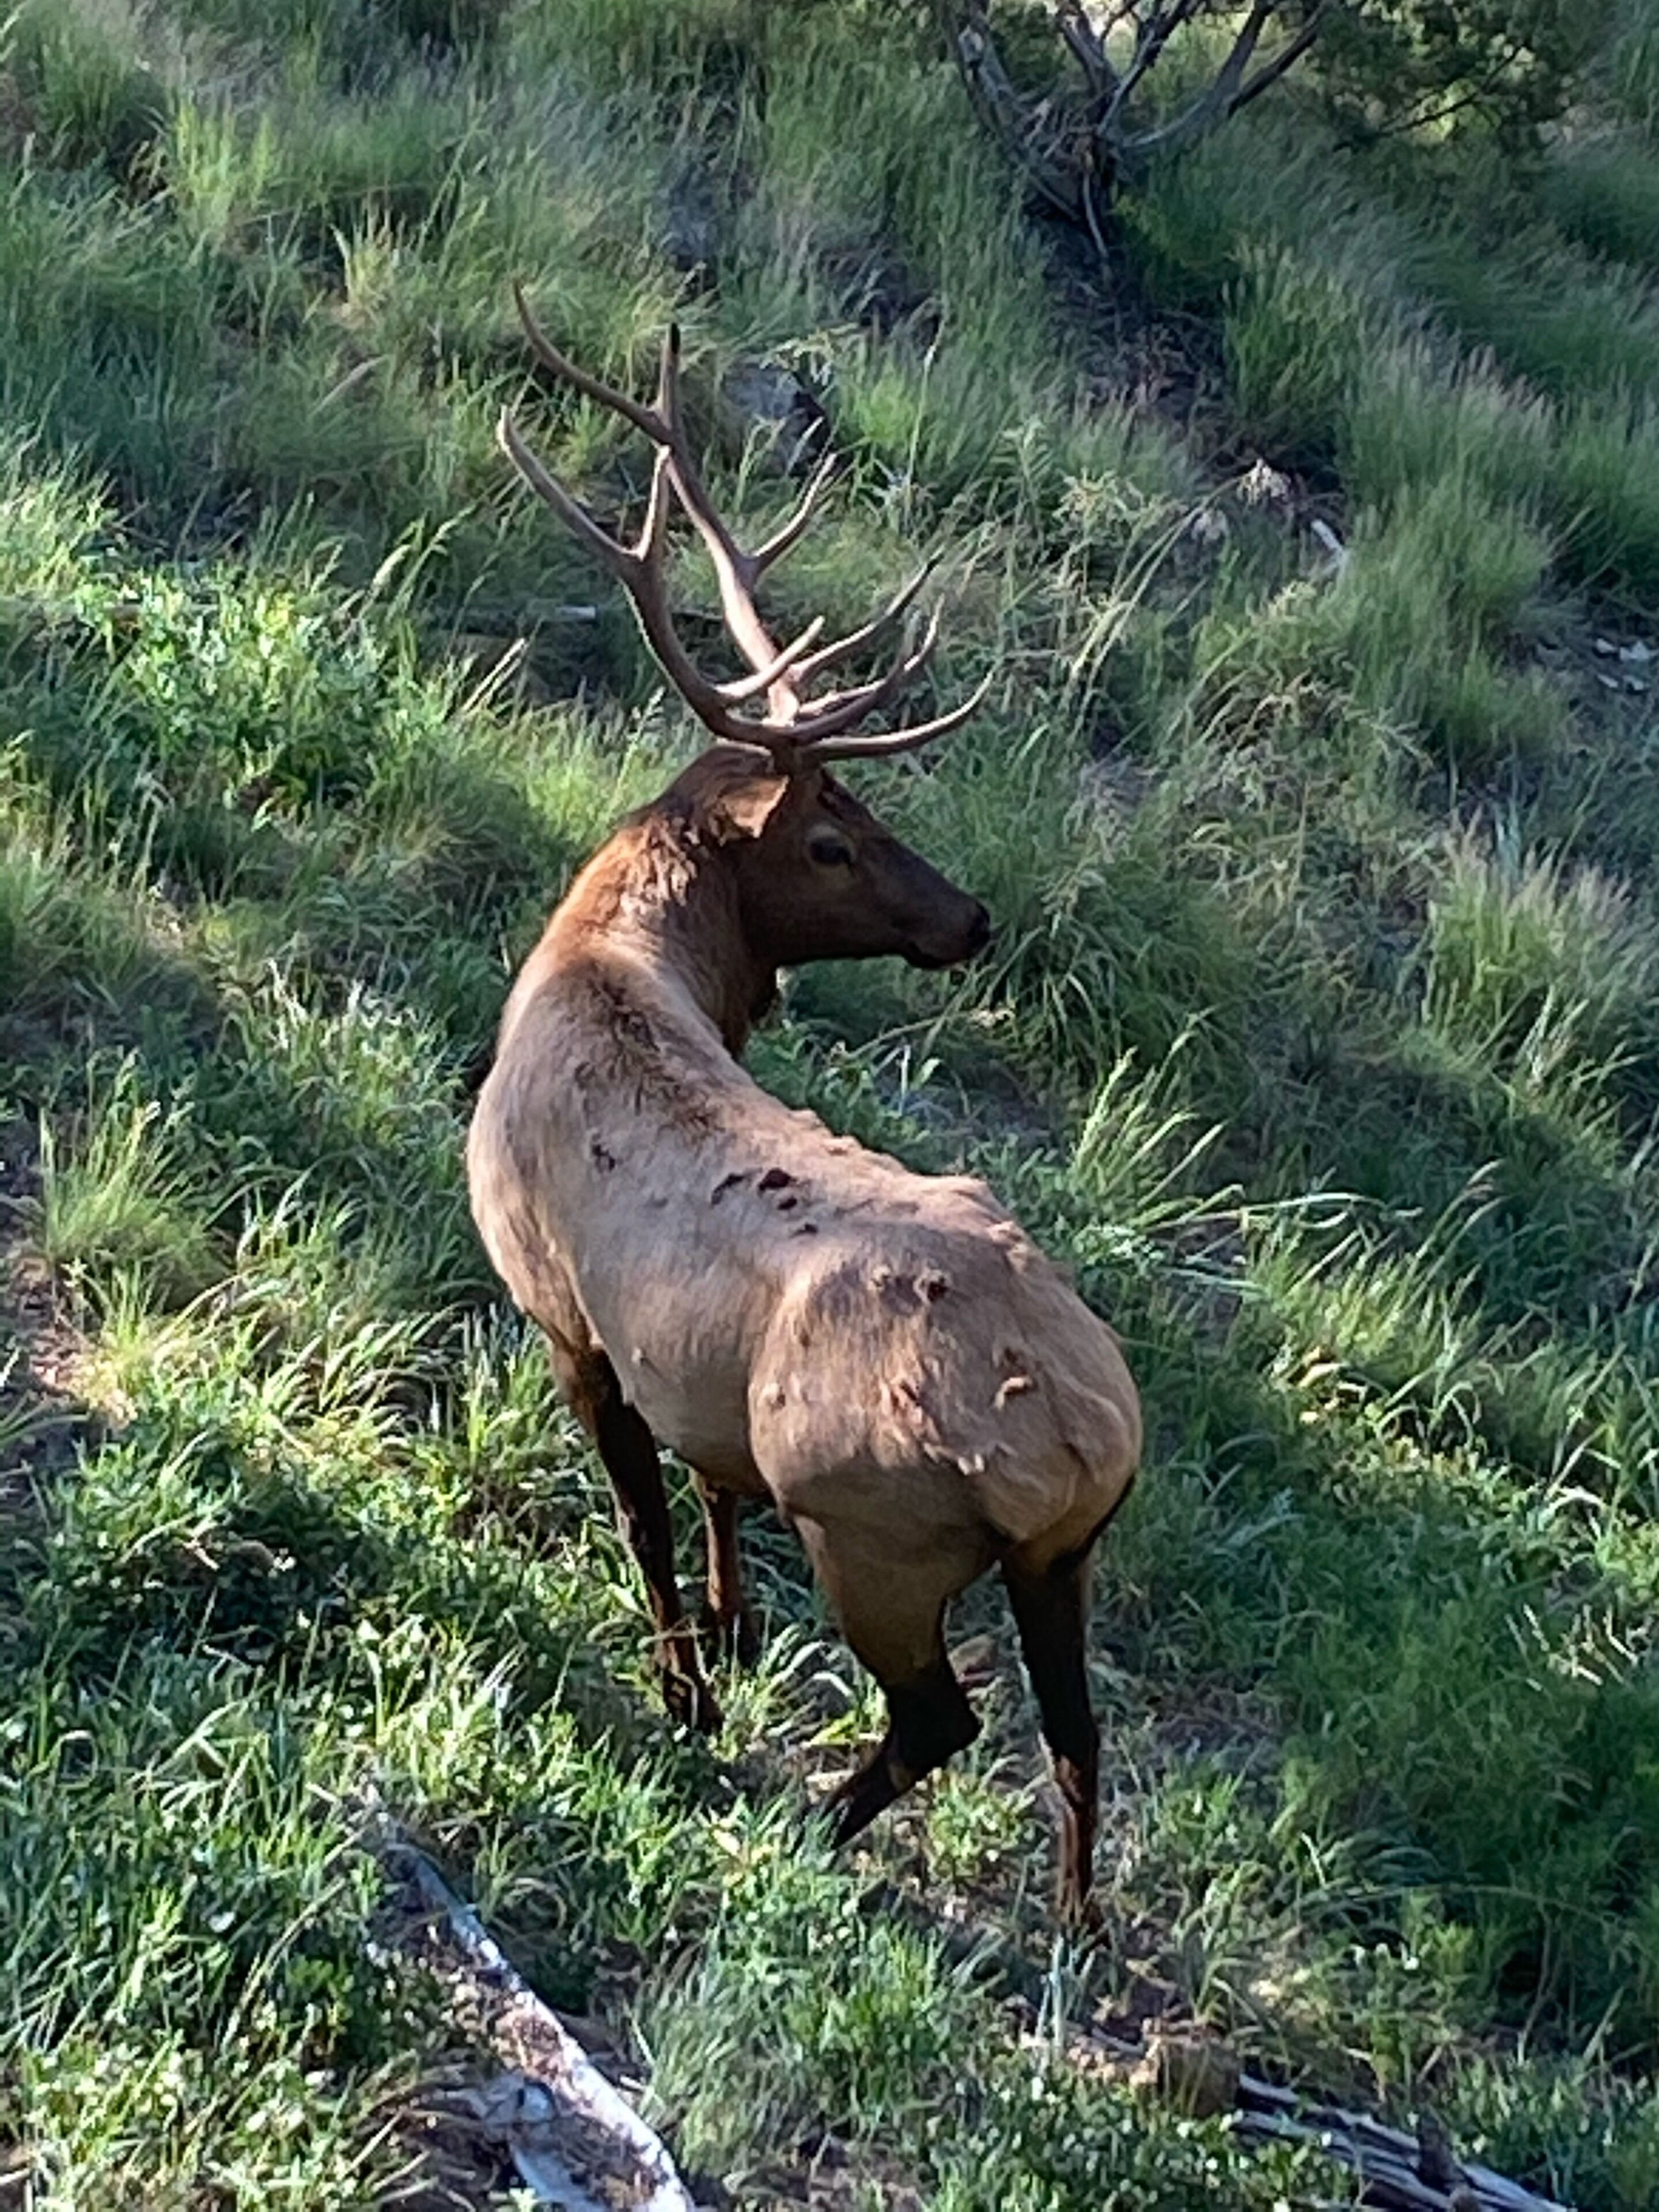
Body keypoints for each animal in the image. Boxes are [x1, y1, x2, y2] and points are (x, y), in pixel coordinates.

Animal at [466, 289, 1142, 1921]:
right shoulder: (679, 1374)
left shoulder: (563, 1309)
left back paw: (813, 1829)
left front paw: (685, 1691)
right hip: (1065, 1556)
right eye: (835, 836)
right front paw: (724, 1633)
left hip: (874, 1524)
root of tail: (1082, 1437)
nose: (969, 917)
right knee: (1077, 1731)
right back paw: (1074, 1928)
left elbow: (643, 1516)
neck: (616, 966)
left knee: (945, 1717)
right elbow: (706, 1496)